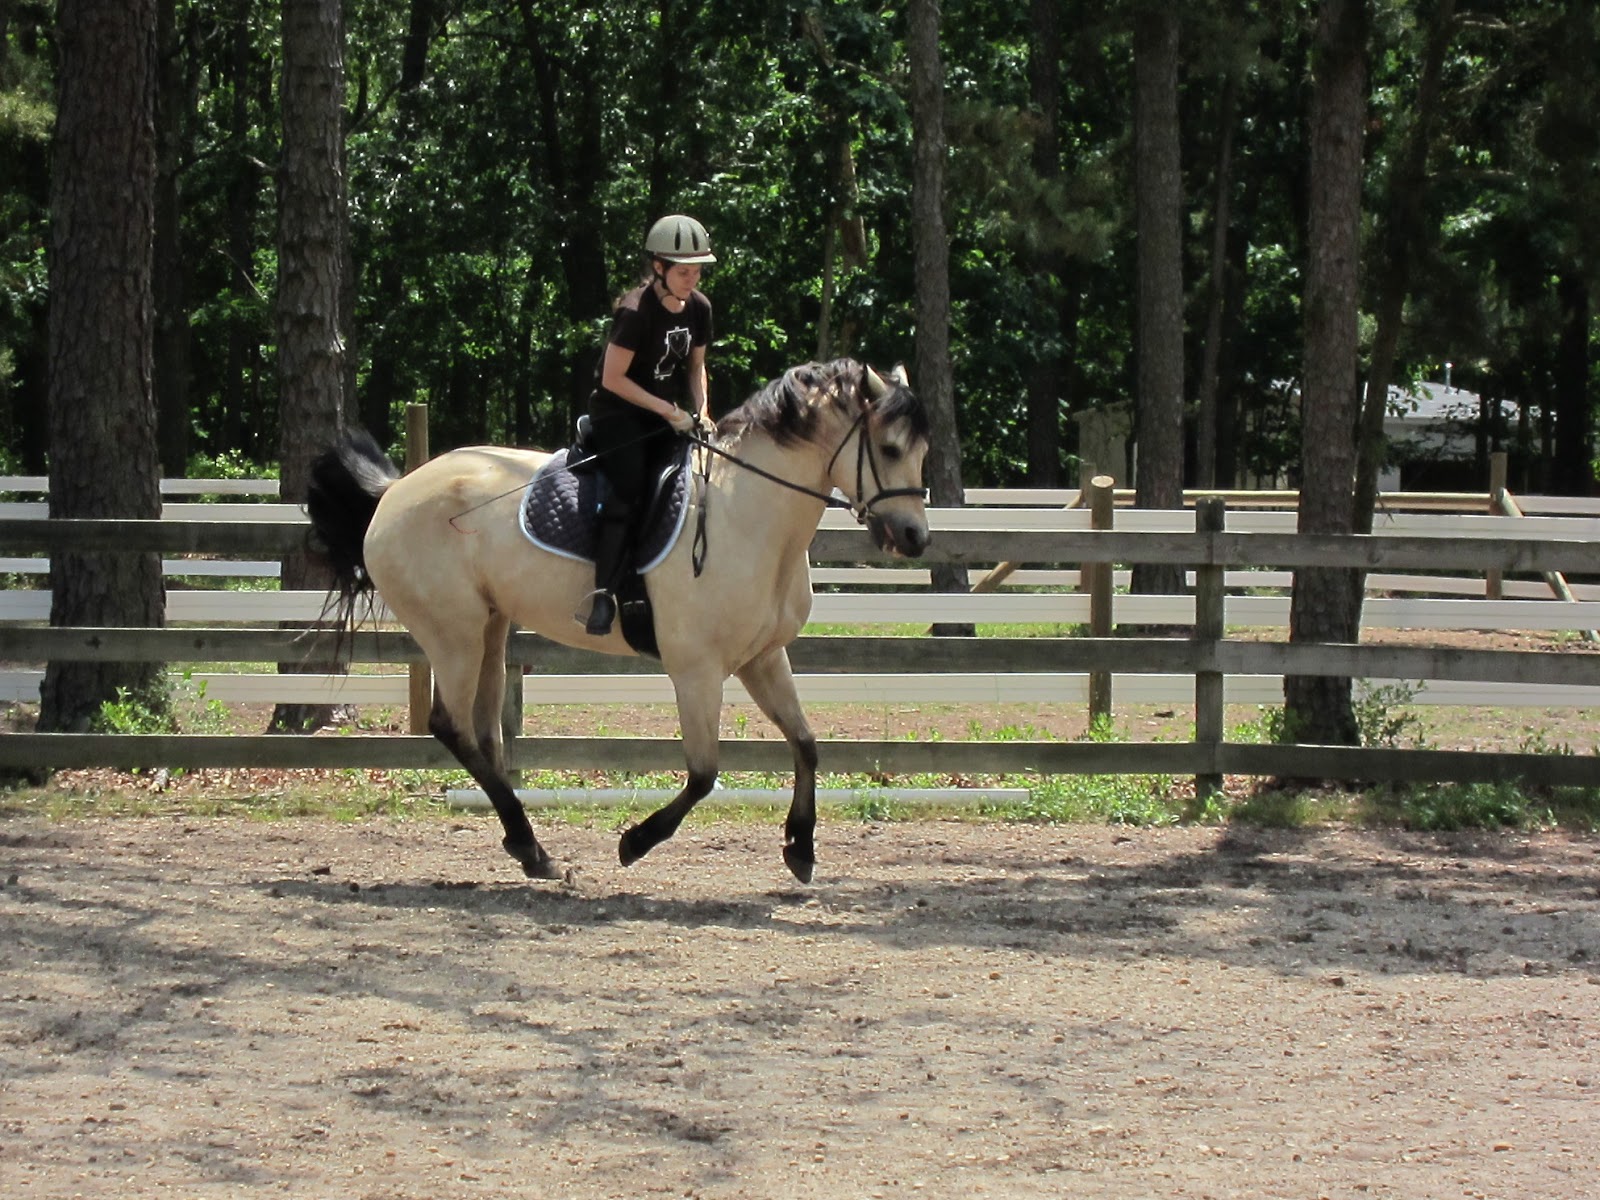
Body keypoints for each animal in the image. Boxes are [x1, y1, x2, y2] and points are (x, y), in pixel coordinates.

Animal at [305, 358, 931, 883]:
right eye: (889, 448)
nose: (915, 538)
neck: (747, 514)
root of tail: (394, 492)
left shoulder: (762, 658)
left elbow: (806, 744)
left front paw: (800, 848)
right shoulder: (697, 671)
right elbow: (704, 774)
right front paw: (635, 842)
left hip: (490, 628)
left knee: (484, 734)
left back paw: (529, 847)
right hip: (452, 634)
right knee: (452, 727)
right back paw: (531, 846)